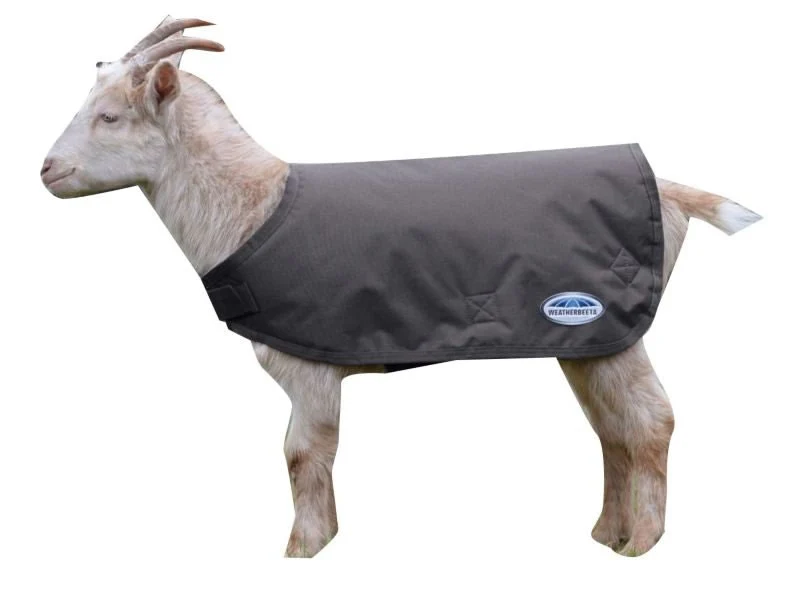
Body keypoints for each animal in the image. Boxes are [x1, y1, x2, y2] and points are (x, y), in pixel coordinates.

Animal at [41, 17, 761, 558]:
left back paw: (642, 543)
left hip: (612, 329)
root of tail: (668, 189)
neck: (254, 207)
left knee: (650, 419)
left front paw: (303, 550)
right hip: (587, 339)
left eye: (109, 116)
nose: (47, 169)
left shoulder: (309, 366)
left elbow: (301, 453)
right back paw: (606, 534)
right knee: (611, 426)